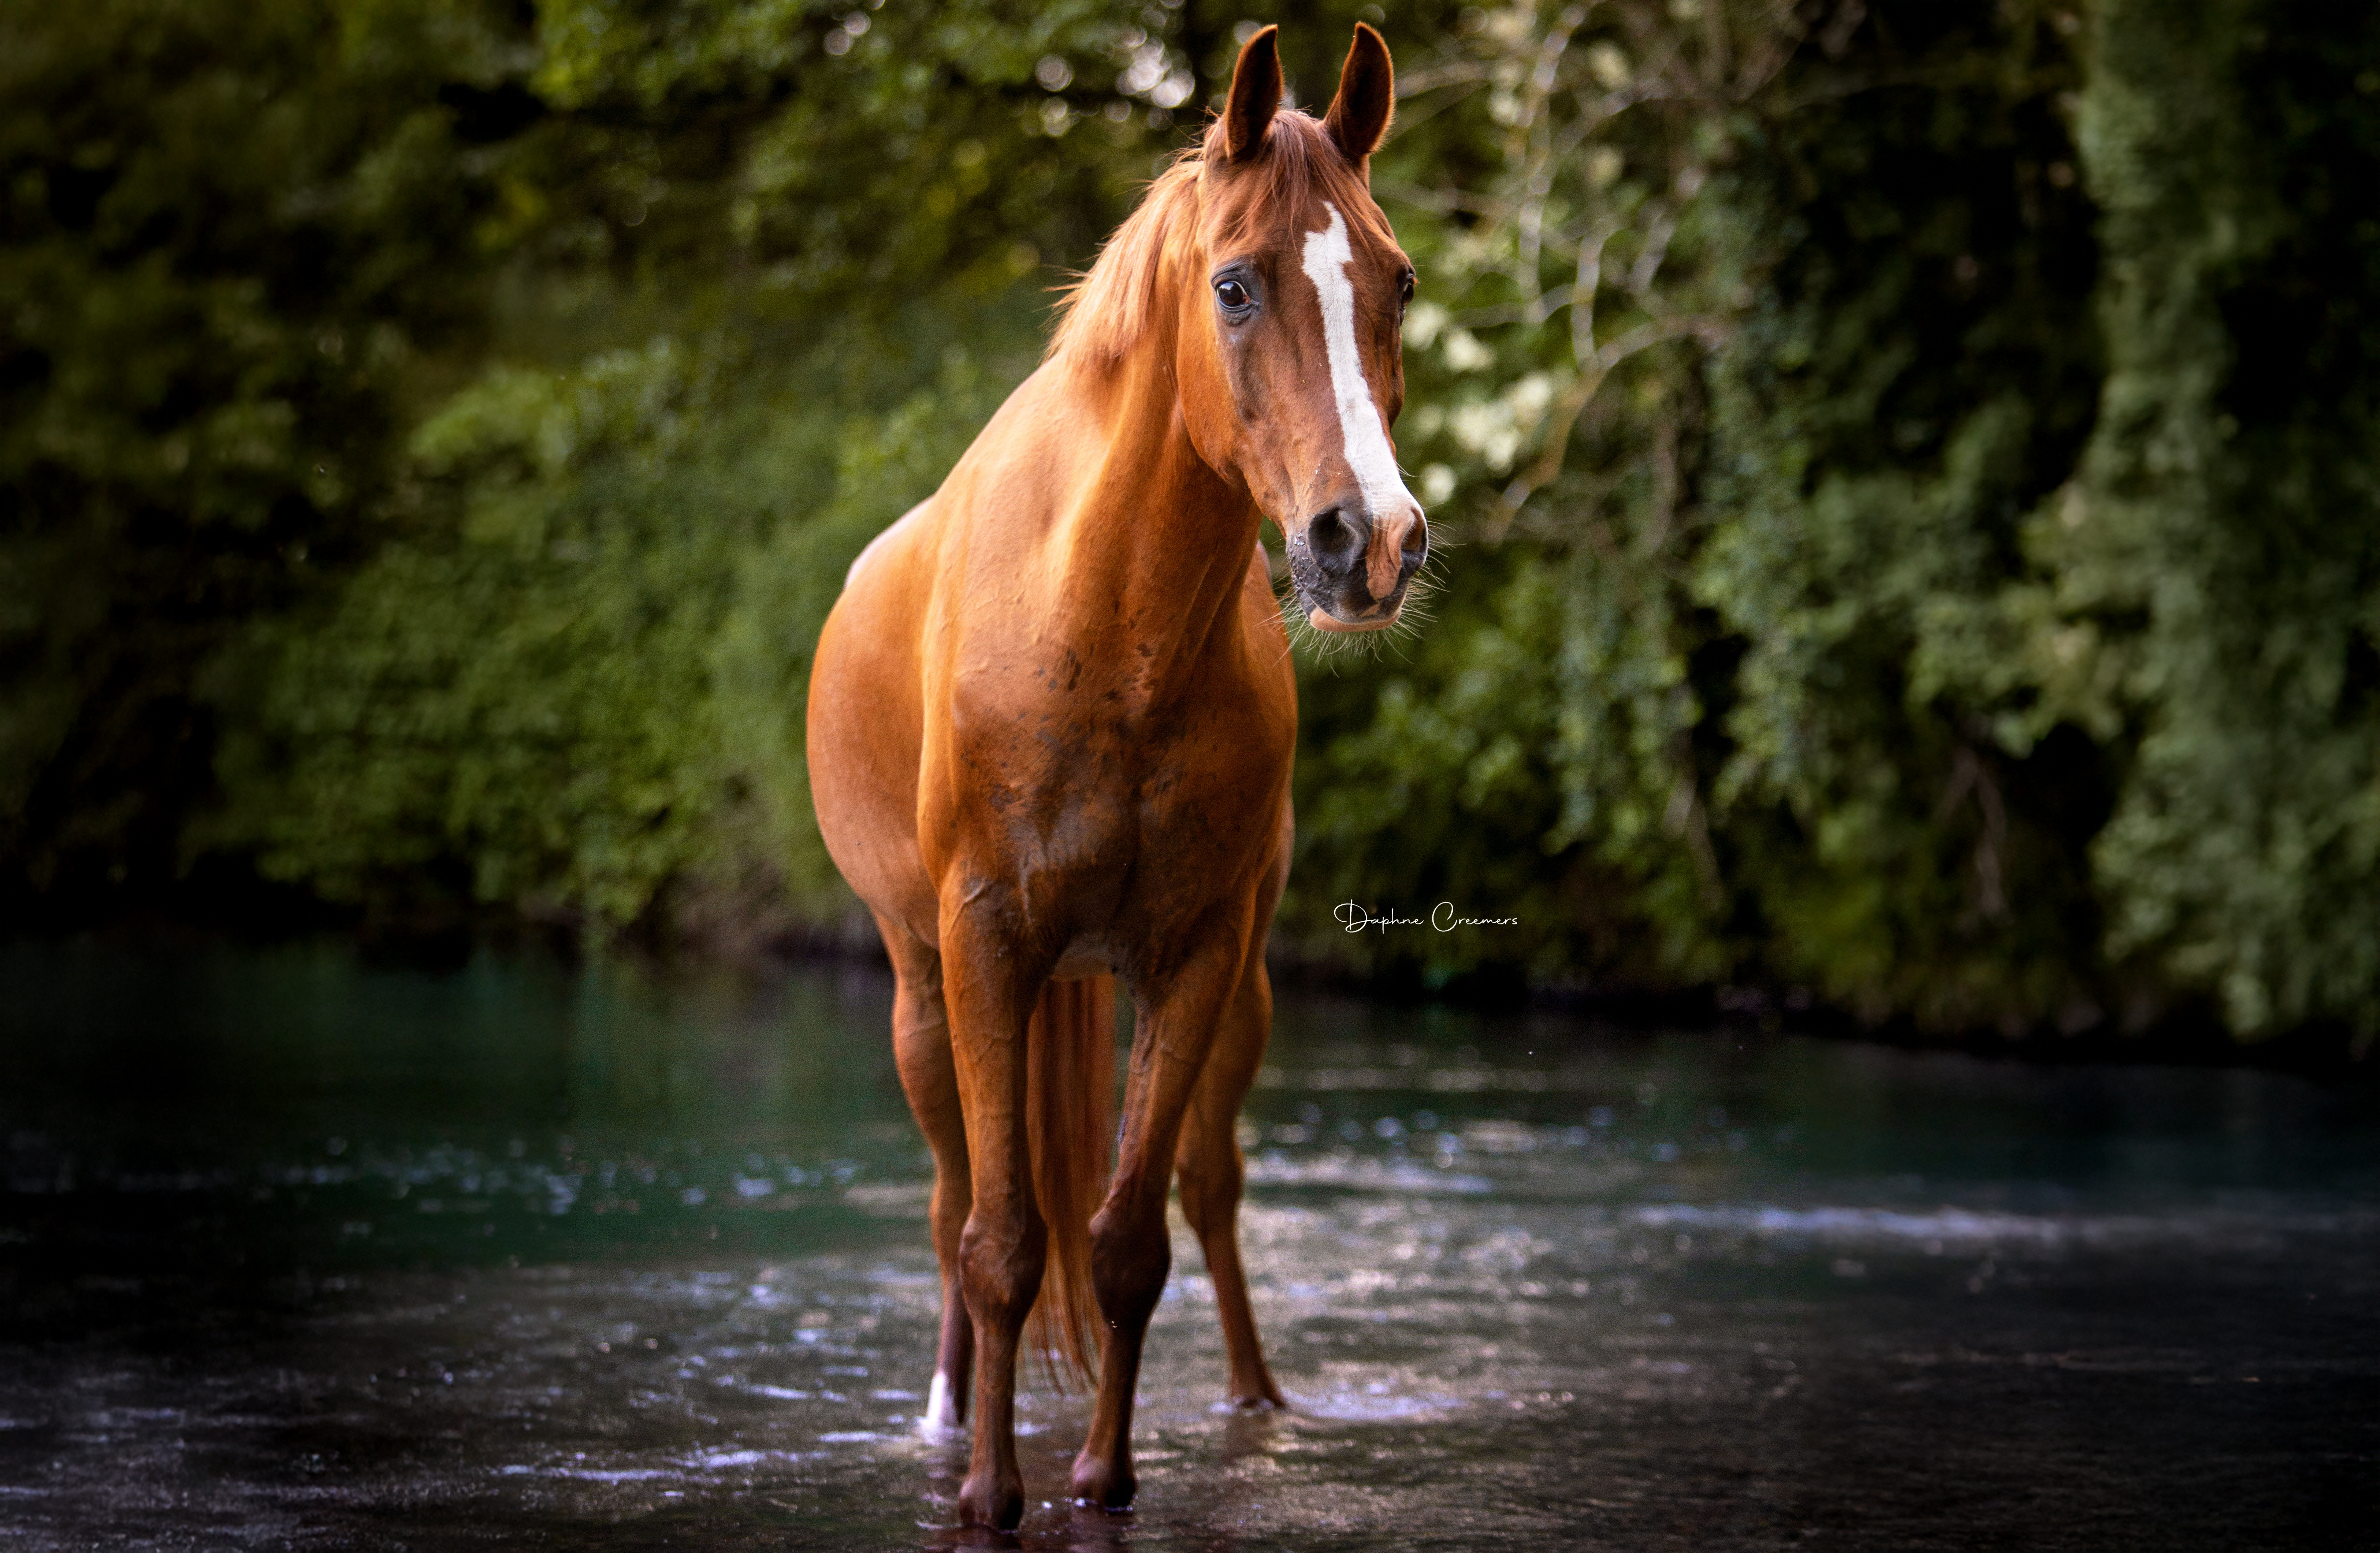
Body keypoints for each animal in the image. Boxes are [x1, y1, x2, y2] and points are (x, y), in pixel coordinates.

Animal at [806, 23, 1427, 1530]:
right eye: (1234, 284)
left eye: (1397, 282)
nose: (1370, 542)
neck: (1101, 620)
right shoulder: (984, 945)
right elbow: (999, 1239)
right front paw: (987, 1492)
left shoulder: (1194, 954)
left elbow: (1129, 1238)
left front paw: (1101, 1475)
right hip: (922, 990)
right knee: (952, 1204)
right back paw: (946, 1415)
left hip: (1232, 991)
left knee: (1207, 1188)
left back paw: (1256, 1404)